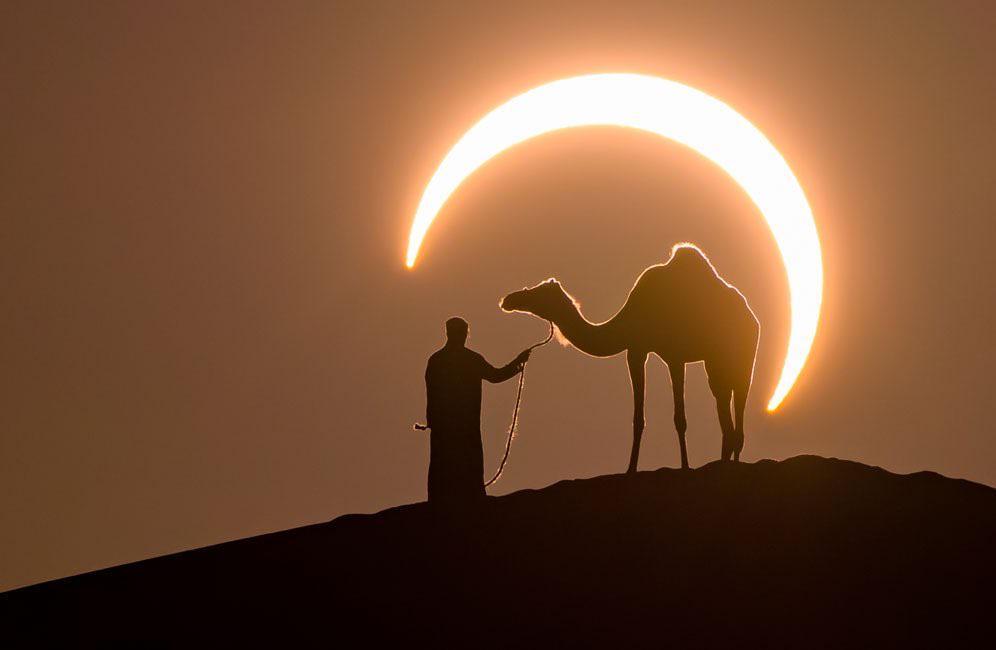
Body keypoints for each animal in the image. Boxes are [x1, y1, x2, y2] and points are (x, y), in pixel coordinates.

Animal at [502, 243, 760, 470]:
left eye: (537, 292)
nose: (509, 299)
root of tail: (752, 317)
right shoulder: (639, 349)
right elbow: (640, 417)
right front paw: (633, 468)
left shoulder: (669, 355)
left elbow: (674, 418)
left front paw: (682, 467)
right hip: (716, 361)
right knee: (724, 408)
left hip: (743, 356)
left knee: (738, 403)